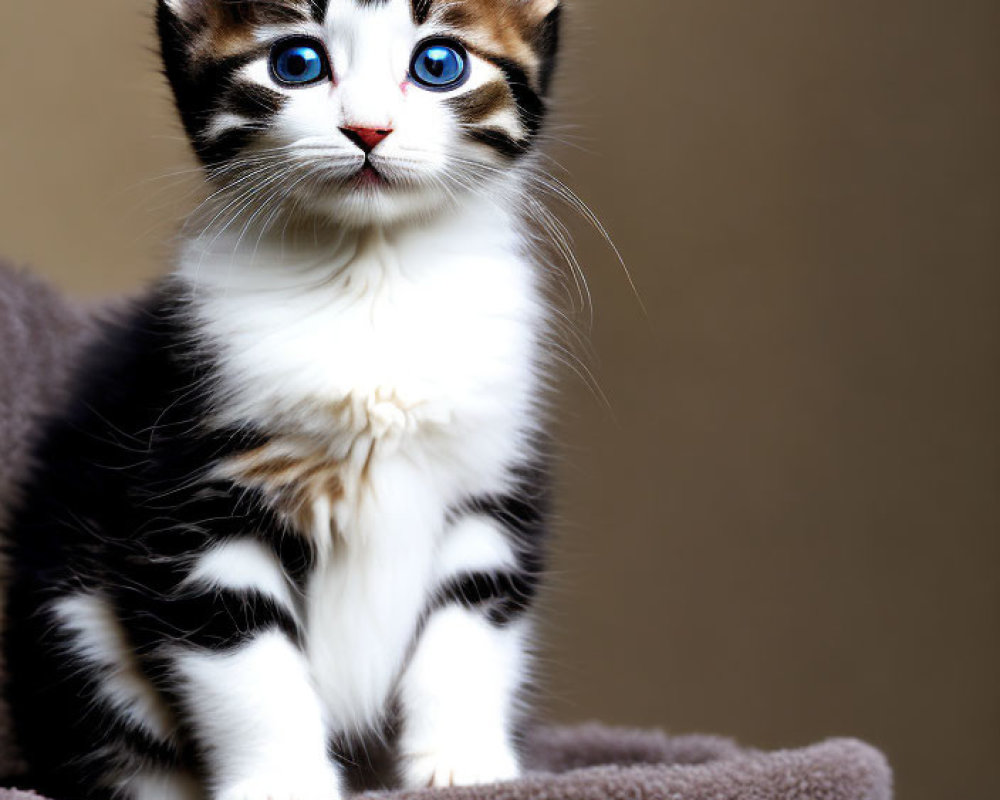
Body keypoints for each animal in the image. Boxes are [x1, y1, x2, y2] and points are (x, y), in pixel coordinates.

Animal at [0, 1, 564, 800]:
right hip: (69, 613)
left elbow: (473, 618)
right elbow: (244, 658)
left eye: (440, 65)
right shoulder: (197, 479)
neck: (371, 276)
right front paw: (283, 782)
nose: (368, 129)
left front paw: (463, 764)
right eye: (295, 64)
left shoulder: (494, 464)